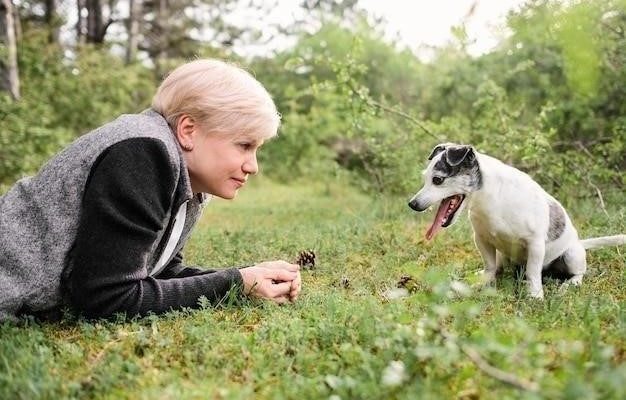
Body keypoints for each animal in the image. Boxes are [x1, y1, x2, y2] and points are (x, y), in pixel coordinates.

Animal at [408, 143, 620, 296]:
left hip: (571, 255)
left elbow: (533, 272)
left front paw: (535, 295)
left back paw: (571, 284)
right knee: (499, 265)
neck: (490, 199)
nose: (412, 204)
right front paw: (484, 280)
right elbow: (489, 265)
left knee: (578, 273)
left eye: (437, 180)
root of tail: (580, 242)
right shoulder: (481, 239)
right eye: (425, 178)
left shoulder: (535, 244)